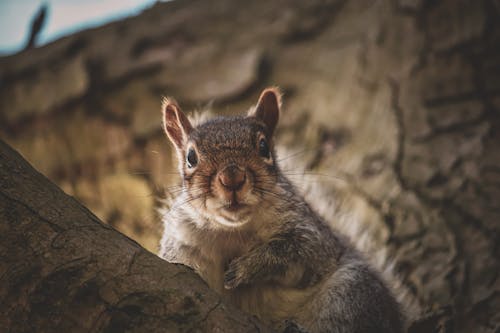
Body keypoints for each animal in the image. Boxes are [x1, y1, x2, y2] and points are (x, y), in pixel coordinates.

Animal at [158, 87, 404, 330]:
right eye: (191, 157)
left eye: (263, 147)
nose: (232, 178)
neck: (233, 231)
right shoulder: (182, 241)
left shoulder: (310, 231)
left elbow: (299, 250)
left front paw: (247, 268)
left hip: (351, 291)